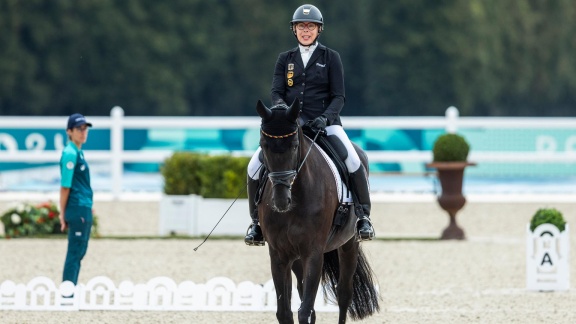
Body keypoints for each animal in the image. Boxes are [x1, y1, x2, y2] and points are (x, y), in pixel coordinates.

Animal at [255, 100, 378, 322]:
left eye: (295, 146)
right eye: (263, 146)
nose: (280, 201)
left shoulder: (313, 253)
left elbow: (304, 310)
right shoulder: (278, 254)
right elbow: (285, 311)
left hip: (349, 244)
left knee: (344, 294)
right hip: (296, 258)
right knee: (303, 292)